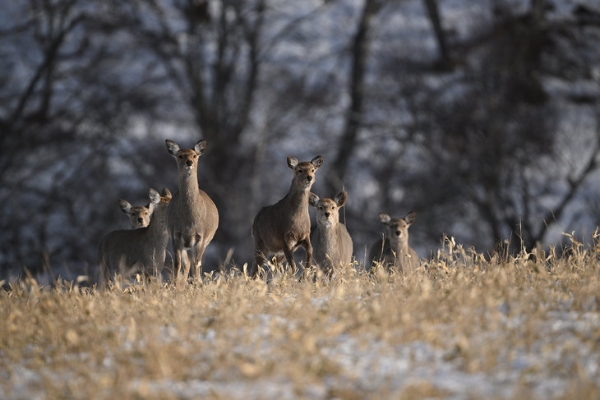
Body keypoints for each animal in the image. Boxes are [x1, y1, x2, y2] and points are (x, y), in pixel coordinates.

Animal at [165, 139, 219, 282]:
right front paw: (175, 285)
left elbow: (196, 266)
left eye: (194, 155)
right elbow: (177, 264)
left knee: (195, 265)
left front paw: (196, 284)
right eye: (180, 156)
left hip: (205, 241)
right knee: (187, 263)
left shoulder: (201, 236)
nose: (189, 162)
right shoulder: (175, 234)